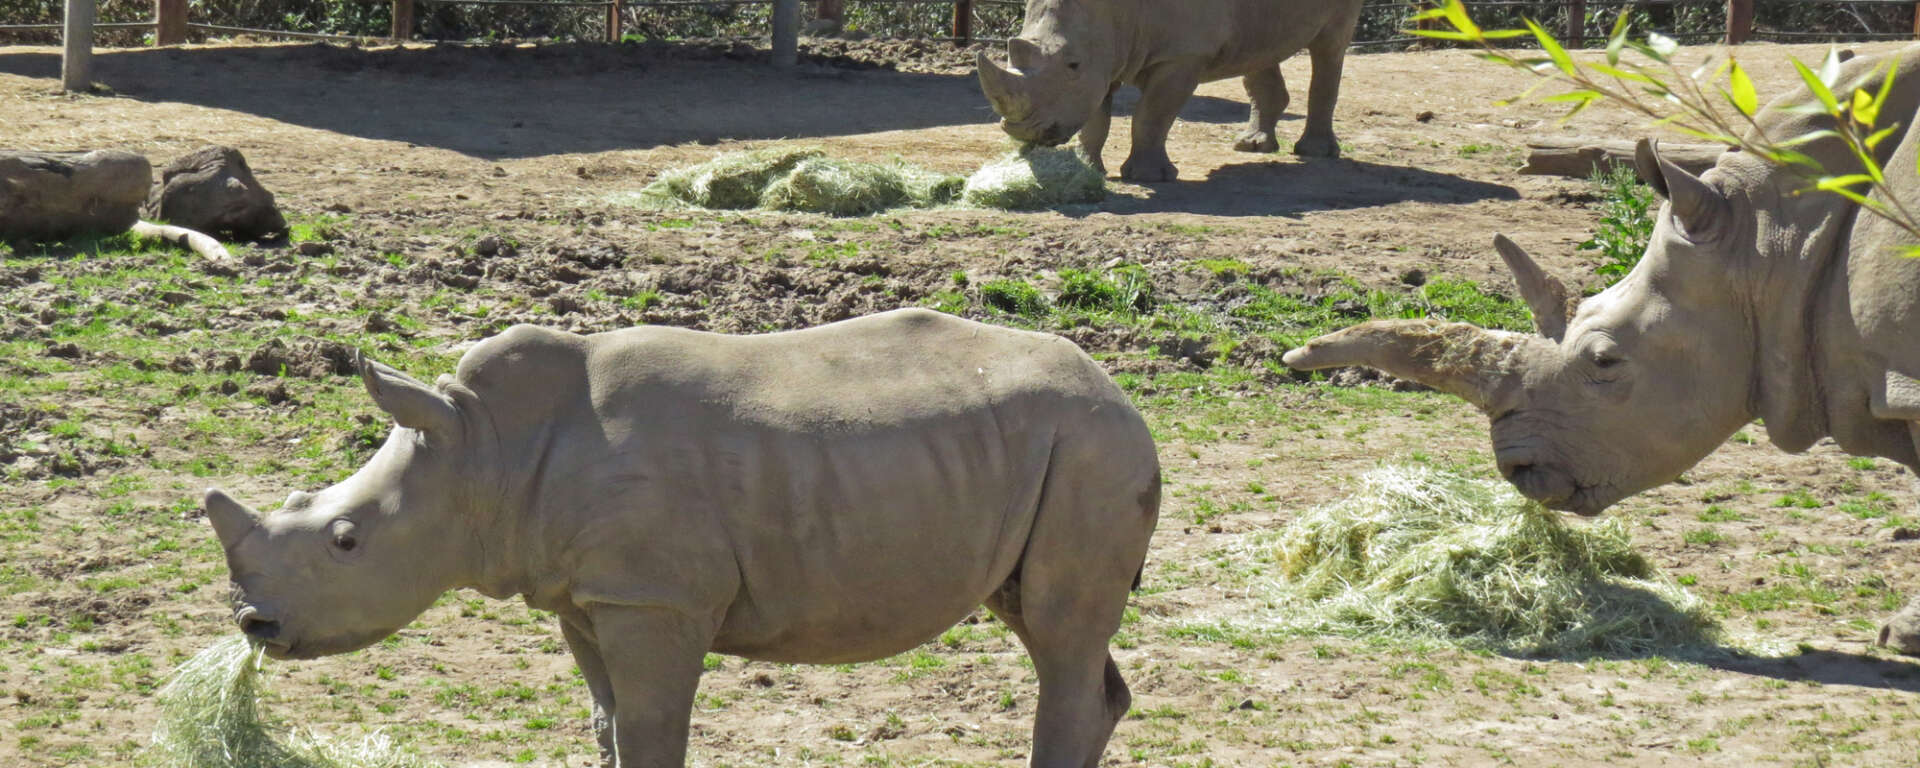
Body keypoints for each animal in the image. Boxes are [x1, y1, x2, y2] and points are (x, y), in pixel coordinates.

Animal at [201, 308, 1162, 767]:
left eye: (346, 541)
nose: (253, 624)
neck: (484, 449)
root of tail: (1123, 393)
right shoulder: (587, 593)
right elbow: (610, 724)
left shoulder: (654, 599)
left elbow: (653, 728)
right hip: (1048, 449)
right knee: (1052, 631)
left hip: (1091, 446)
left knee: (1062, 635)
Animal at [976, 0, 1364, 182]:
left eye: (1072, 65)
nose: (1026, 134)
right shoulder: (1105, 54)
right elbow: (1096, 119)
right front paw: (1089, 168)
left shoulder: (1183, 54)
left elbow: (1151, 116)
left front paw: (1149, 177)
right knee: (1258, 47)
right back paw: (1252, 145)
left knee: (1329, 47)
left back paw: (1314, 153)